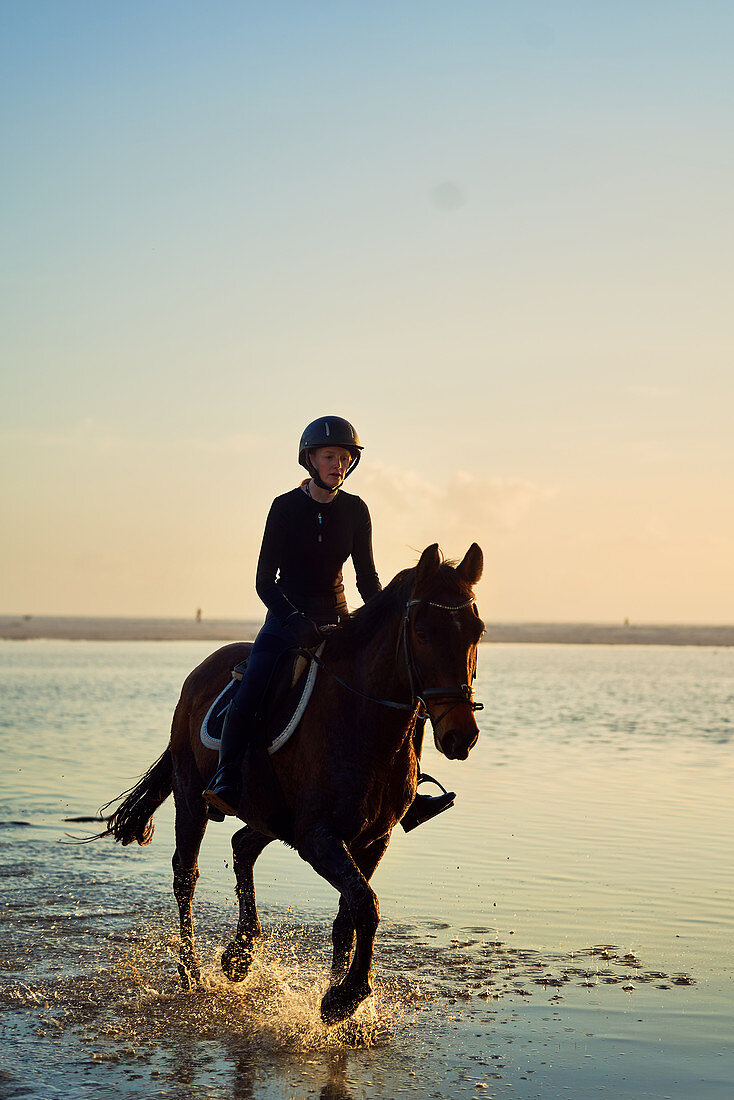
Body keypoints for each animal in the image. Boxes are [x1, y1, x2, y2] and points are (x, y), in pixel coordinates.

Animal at [99, 541, 488, 1020]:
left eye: (477, 631)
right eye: (422, 632)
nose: (461, 735)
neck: (364, 721)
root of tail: (202, 669)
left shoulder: (372, 839)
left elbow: (349, 917)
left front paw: (342, 999)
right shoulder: (318, 838)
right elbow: (366, 906)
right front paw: (345, 997)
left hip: (270, 815)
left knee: (242, 846)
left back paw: (240, 954)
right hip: (193, 799)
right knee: (185, 874)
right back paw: (192, 974)